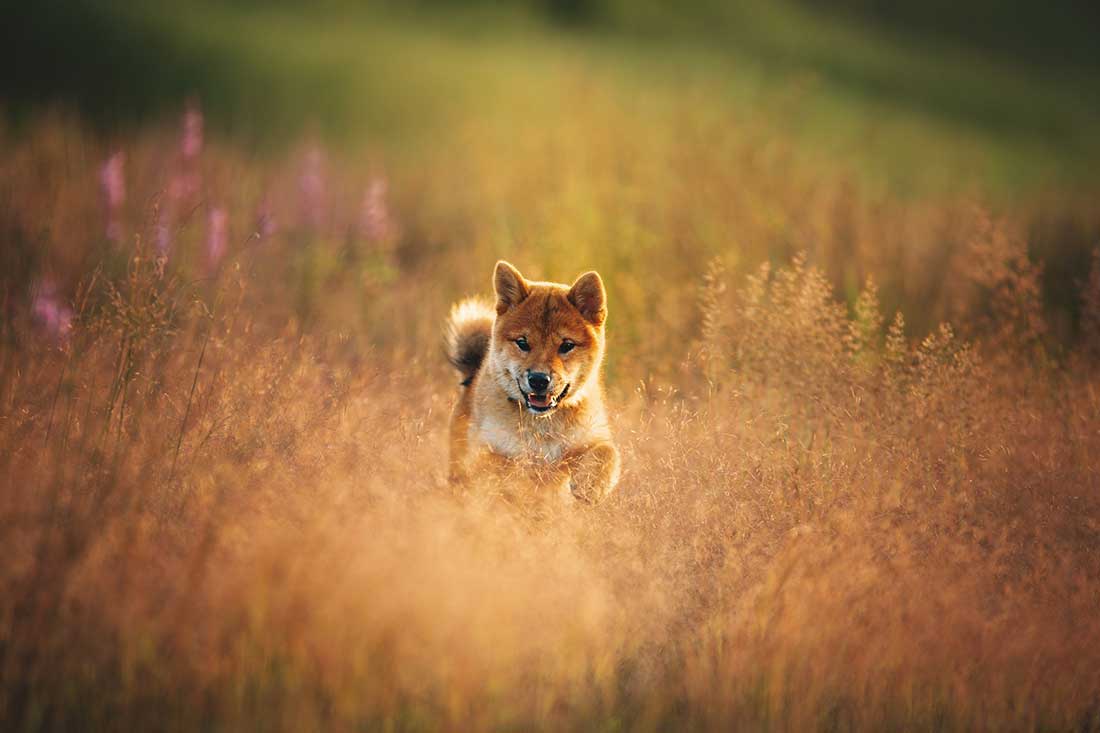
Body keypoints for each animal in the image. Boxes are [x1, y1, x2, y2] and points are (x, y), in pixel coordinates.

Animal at [444, 259, 620, 506]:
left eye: (566, 345)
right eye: (522, 343)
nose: (538, 379)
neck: (542, 425)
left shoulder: (588, 439)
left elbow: (606, 453)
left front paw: (590, 485)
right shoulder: (487, 452)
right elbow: (507, 467)